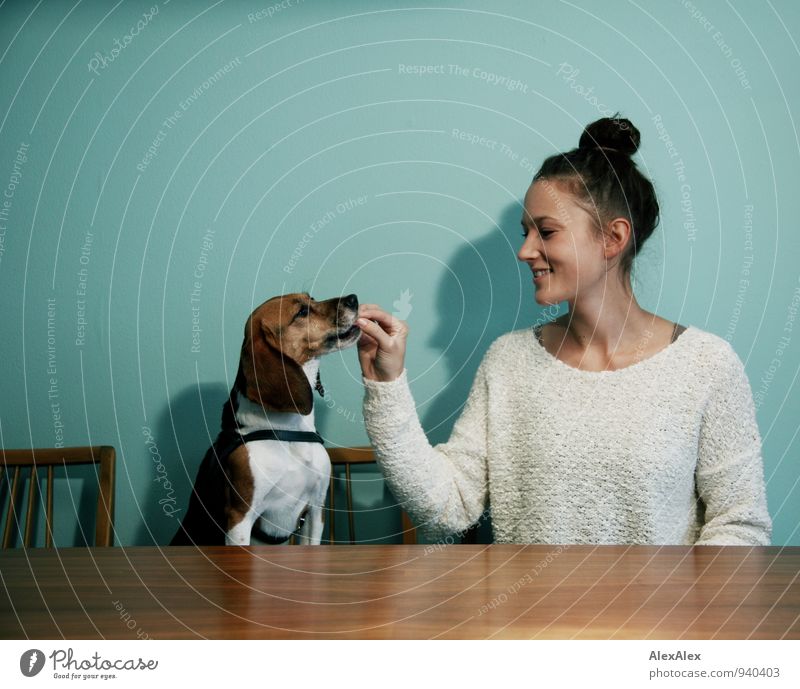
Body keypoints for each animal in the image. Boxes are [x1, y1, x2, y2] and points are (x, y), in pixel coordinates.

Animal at [171, 292, 360, 544]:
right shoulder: (240, 517)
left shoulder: (316, 508)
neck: (289, 432)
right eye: (301, 312)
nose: (353, 298)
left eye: (312, 298)